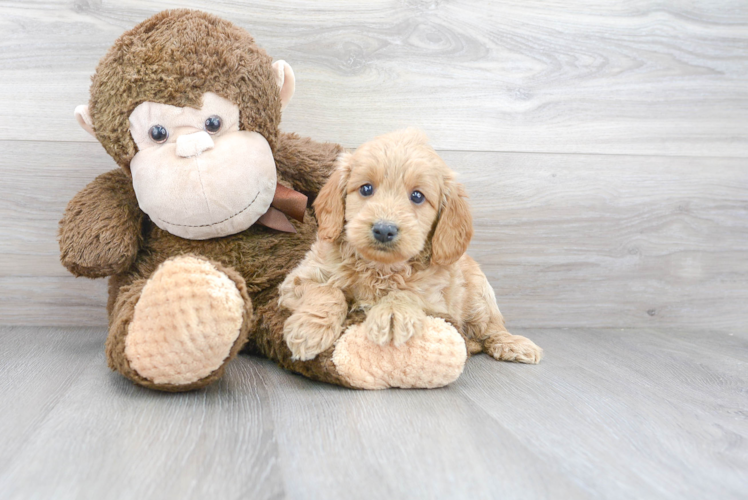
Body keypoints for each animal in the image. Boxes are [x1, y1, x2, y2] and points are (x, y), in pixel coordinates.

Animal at [278, 129, 540, 364]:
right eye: (366, 188)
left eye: (417, 196)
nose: (384, 230)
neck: (379, 268)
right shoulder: (297, 279)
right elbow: (326, 291)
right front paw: (309, 329)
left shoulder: (437, 302)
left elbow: (410, 292)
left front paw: (392, 314)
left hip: (480, 296)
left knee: (492, 328)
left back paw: (514, 344)